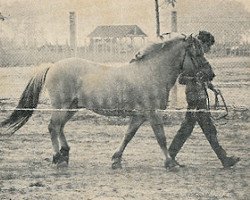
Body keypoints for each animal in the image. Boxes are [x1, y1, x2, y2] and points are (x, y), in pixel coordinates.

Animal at [0, 34, 205, 169]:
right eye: (198, 54)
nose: (209, 74)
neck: (151, 72)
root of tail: (52, 65)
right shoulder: (152, 113)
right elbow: (161, 137)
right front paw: (170, 163)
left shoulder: (139, 116)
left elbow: (128, 135)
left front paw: (116, 160)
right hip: (61, 106)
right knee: (53, 127)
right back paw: (58, 158)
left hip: (72, 108)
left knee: (59, 127)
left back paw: (65, 155)